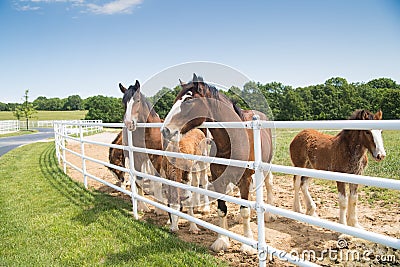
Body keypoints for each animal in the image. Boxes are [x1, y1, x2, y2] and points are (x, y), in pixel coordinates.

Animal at [119, 80, 164, 215]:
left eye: (137, 100)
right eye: (123, 102)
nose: (129, 123)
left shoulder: (157, 157)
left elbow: (156, 179)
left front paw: (159, 209)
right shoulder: (137, 157)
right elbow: (138, 179)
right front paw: (142, 206)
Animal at [160, 74, 276, 254]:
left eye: (188, 100)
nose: (165, 130)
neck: (232, 143)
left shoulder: (244, 179)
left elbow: (245, 210)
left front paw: (247, 244)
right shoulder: (219, 179)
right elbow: (222, 209)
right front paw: (221, 240)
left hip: (266, 166)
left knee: (268, 185)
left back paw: (269, 215)